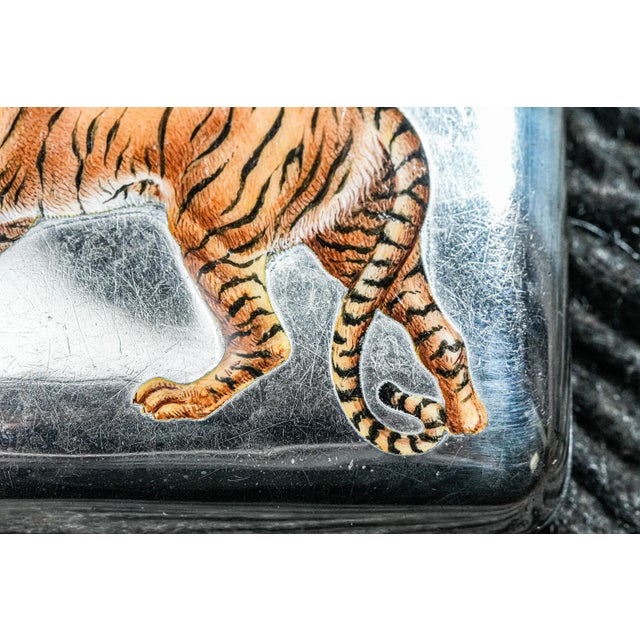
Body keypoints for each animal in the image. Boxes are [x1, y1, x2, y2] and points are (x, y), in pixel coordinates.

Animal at [0, 107, 488, 455]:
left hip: (212, 227)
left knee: (267, 339)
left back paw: (179, 398)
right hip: (360, 237)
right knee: (439, 332)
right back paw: (469, 424)